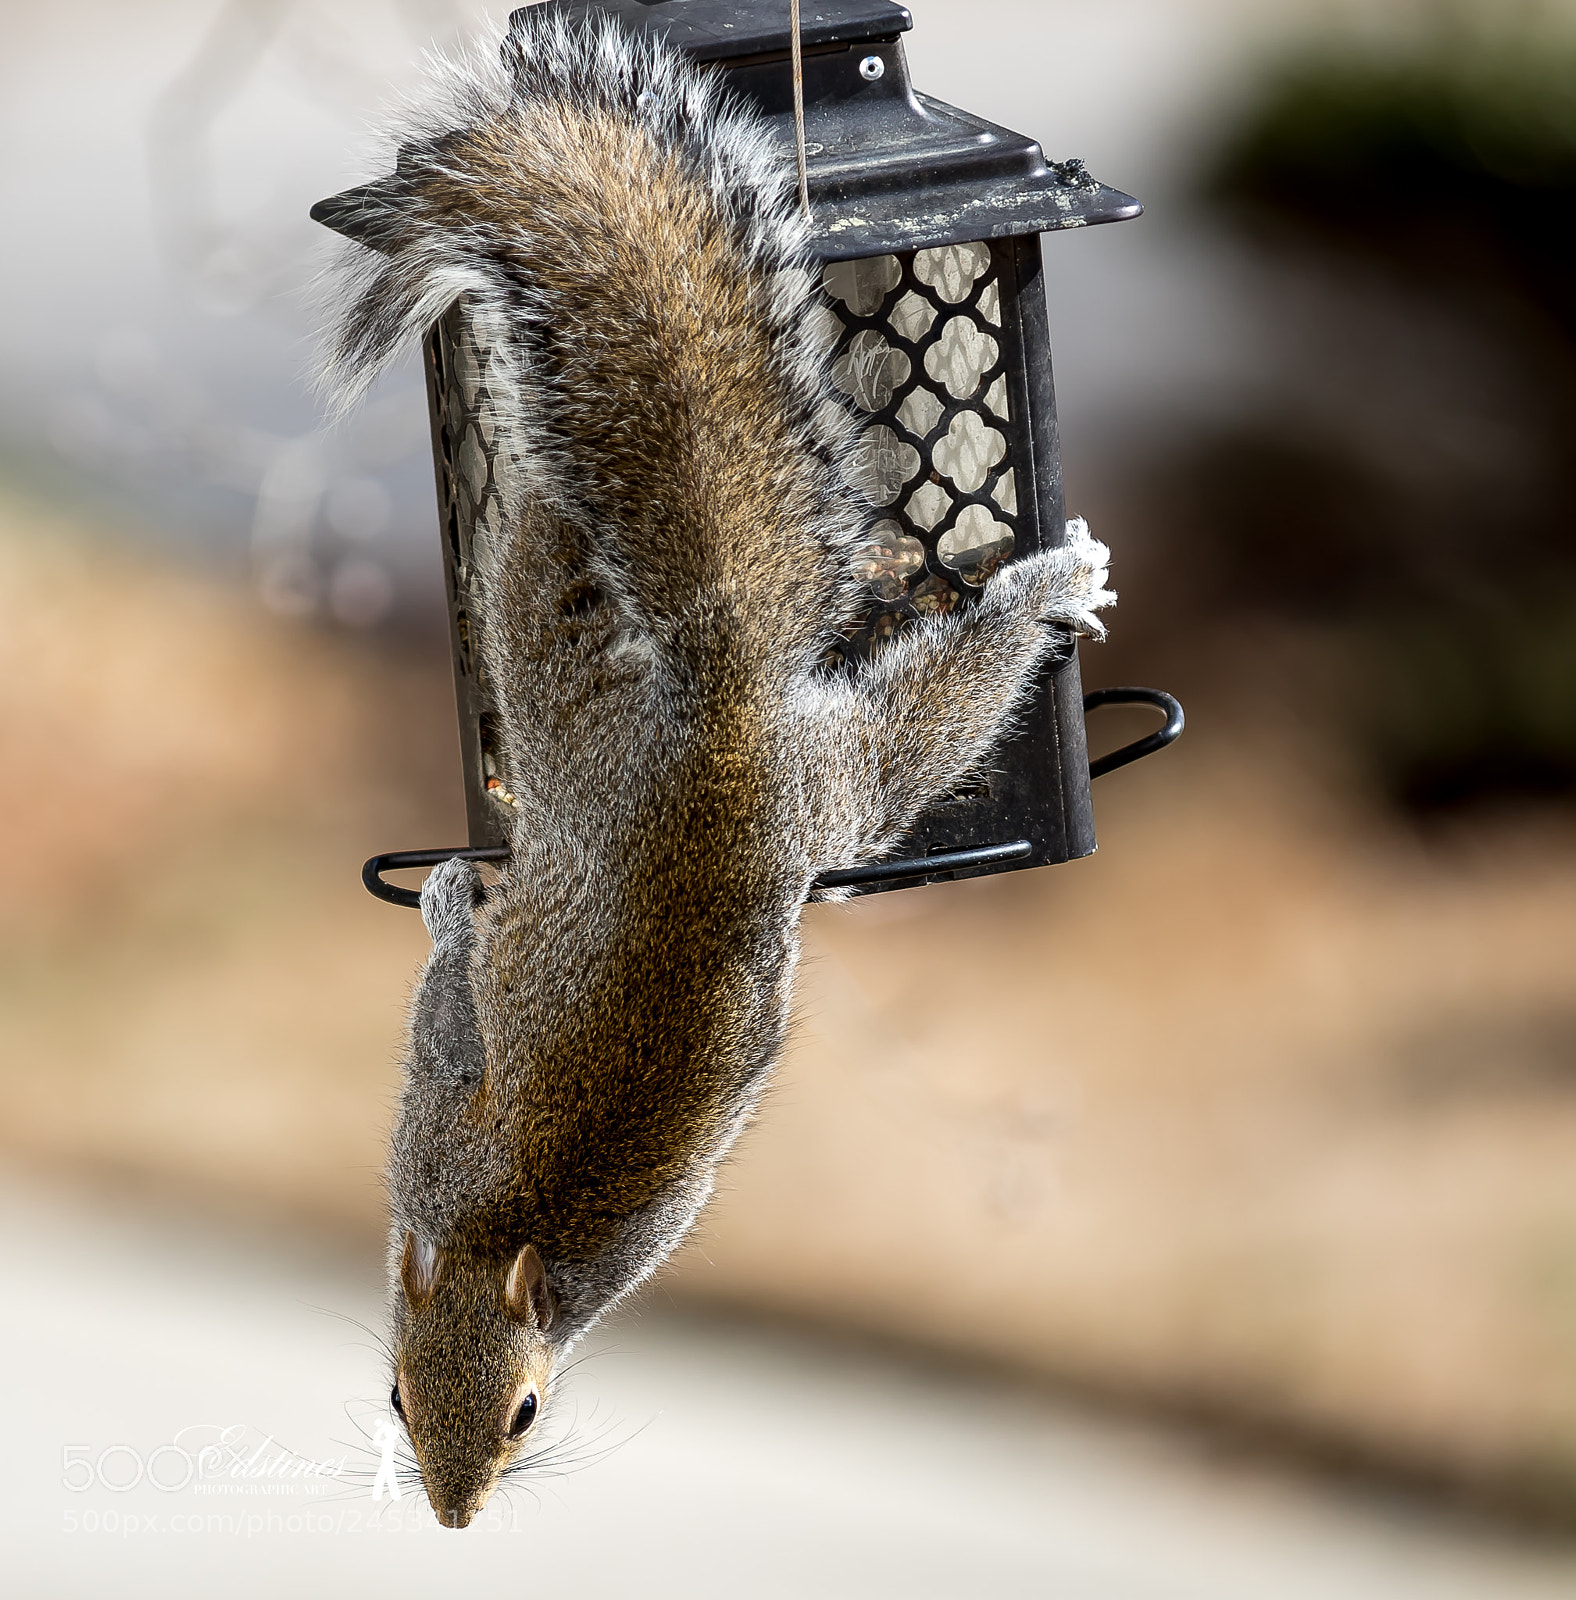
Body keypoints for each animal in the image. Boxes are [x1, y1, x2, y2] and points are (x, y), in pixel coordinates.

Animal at [322, 9, 1114, 1530]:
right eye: (388, 1395)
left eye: (524, 1413)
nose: (453, 1515)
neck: (502, 1236)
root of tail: (727, 699)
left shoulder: (430, 1137)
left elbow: (444, 1021)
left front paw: (449, 917)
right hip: (841, 786)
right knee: (926, 719)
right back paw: (1034, 599)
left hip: (577, 729)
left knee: (540, 588)